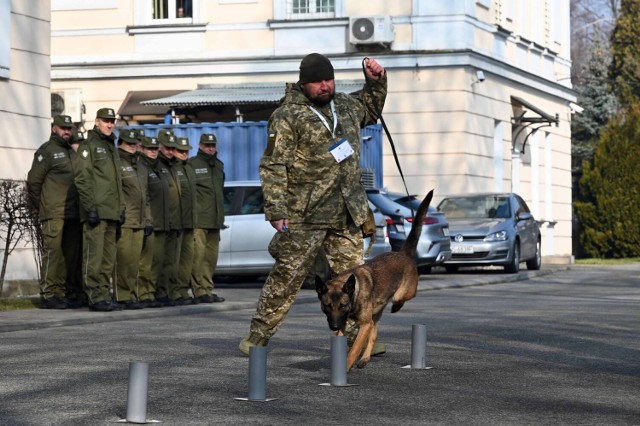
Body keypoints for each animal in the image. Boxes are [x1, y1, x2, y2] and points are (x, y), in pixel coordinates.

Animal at [316, 189, 436, 370]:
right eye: (327, 306)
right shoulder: (345, 323)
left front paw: (346, 365)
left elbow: (354, 349)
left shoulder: (363, 324)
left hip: (402, 294)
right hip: (376, 312)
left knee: (404, 298)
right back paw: (365, 358)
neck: (355, 292)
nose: (334, 326)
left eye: (343, 305)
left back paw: (396, 307)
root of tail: (403, 253)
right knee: (374, 333)